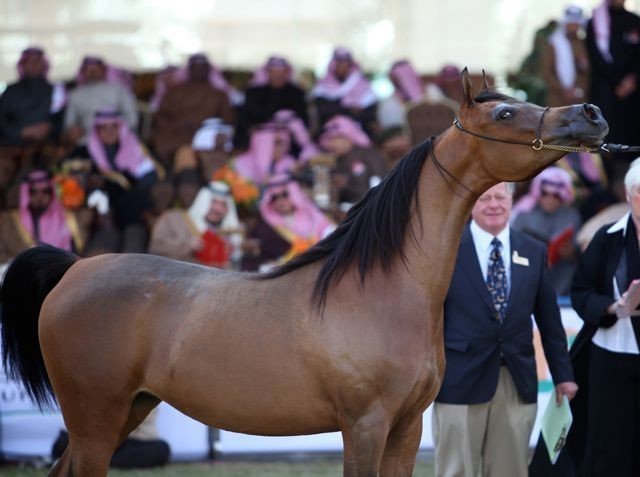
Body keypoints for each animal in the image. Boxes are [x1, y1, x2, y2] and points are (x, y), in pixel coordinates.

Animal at [1, 69, 608, 477]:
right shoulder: (364, 427)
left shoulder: (406, 429)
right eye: (504, 113)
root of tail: (76, 268)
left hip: (126, 410)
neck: (381, 288)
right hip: (95, 420)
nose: (591, 114)